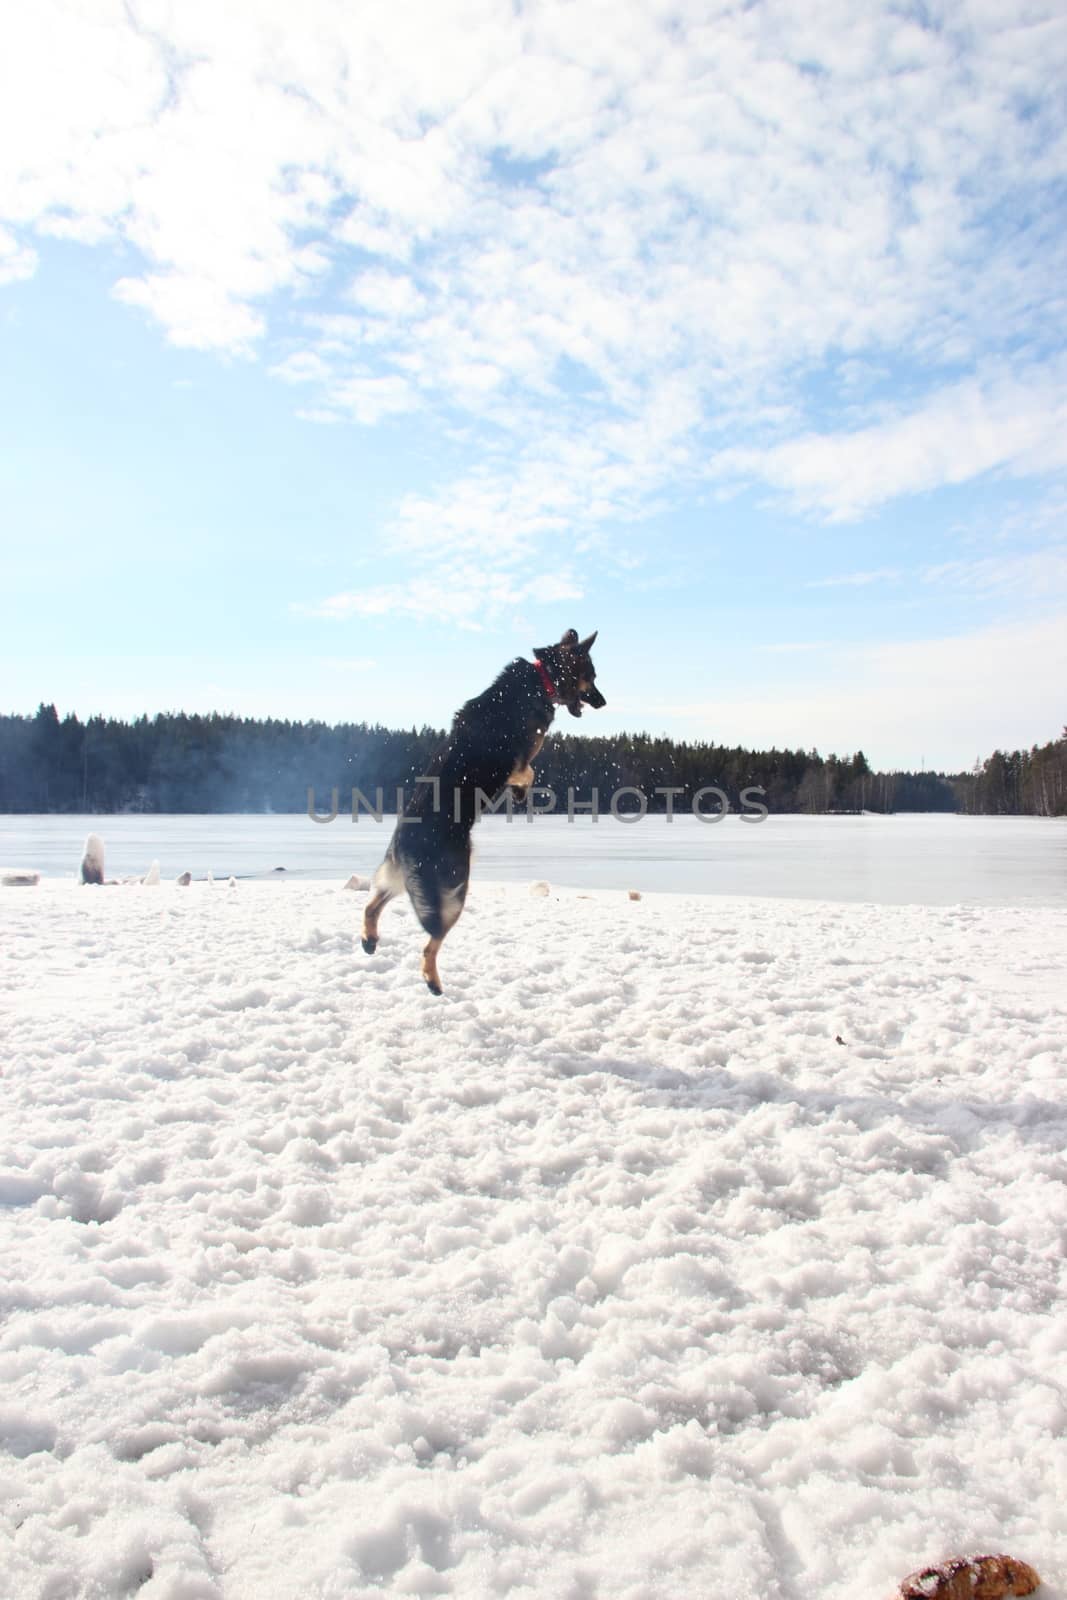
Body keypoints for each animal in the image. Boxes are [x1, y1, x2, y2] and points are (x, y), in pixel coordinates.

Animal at [361, 627, 604, 992]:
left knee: (371, 905)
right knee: (430, 941)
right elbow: (530, 773)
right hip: (453, 888)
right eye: (592, 677)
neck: (542, 676)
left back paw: (369, 939)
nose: (603, 702)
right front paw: (520, 792)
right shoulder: (520, 760)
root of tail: (405, 842)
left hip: (405, 881)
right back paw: (431, 979)